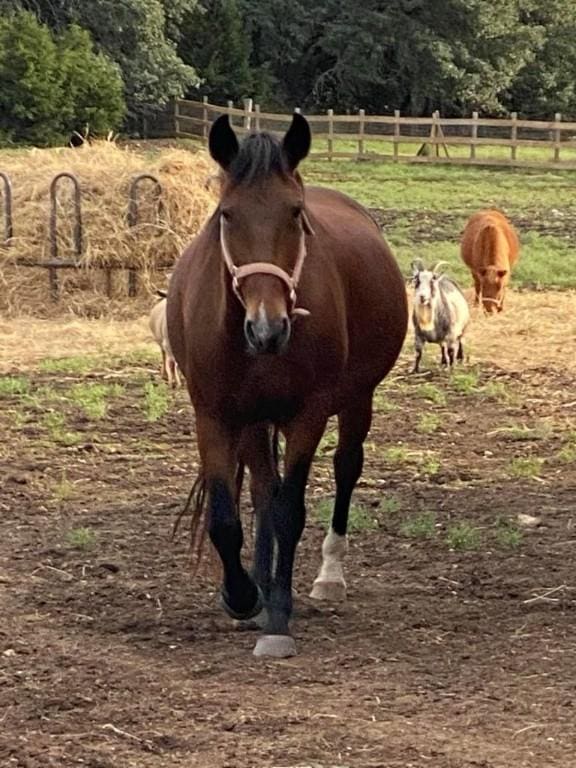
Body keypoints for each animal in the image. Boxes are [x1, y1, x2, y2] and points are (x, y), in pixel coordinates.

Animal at [168, 112, 410, 656]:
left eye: (295, 214)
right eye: (227, 214)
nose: (268, 328)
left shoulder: (308, 414)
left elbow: (289, 511)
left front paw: (278, 616)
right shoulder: (214, 414)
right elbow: (228, 517)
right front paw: (243, 597)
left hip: (356, 401)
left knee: (344, 470)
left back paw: (327, 577)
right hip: (255, 421)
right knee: (262, 488)